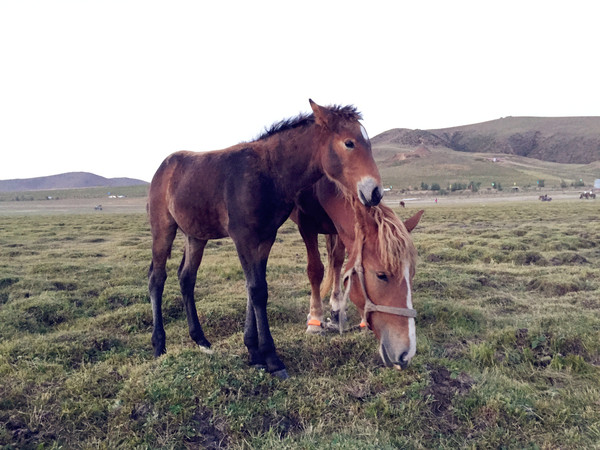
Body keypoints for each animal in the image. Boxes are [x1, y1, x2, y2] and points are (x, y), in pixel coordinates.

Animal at [146, 100, 382, 378]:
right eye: (349, 143)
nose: (375, 192)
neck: (269, 173)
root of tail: (164, 166)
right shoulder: (244, 238)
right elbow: (257, 290)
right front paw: (271, 357)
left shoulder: (265, 238)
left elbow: (254, 290)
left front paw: (254, 351)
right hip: (163, 229)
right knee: (157, 278)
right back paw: (159, 344)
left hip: (196, 235)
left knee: (186, 278)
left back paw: (201, 340)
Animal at [290, 178, 422, 370]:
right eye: (381, 275)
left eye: (412, 274)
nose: (406, 354)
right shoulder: (305, 222)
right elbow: (315, 269)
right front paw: (315, 320)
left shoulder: (338, 227)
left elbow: (338, 261)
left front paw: (337, 307)